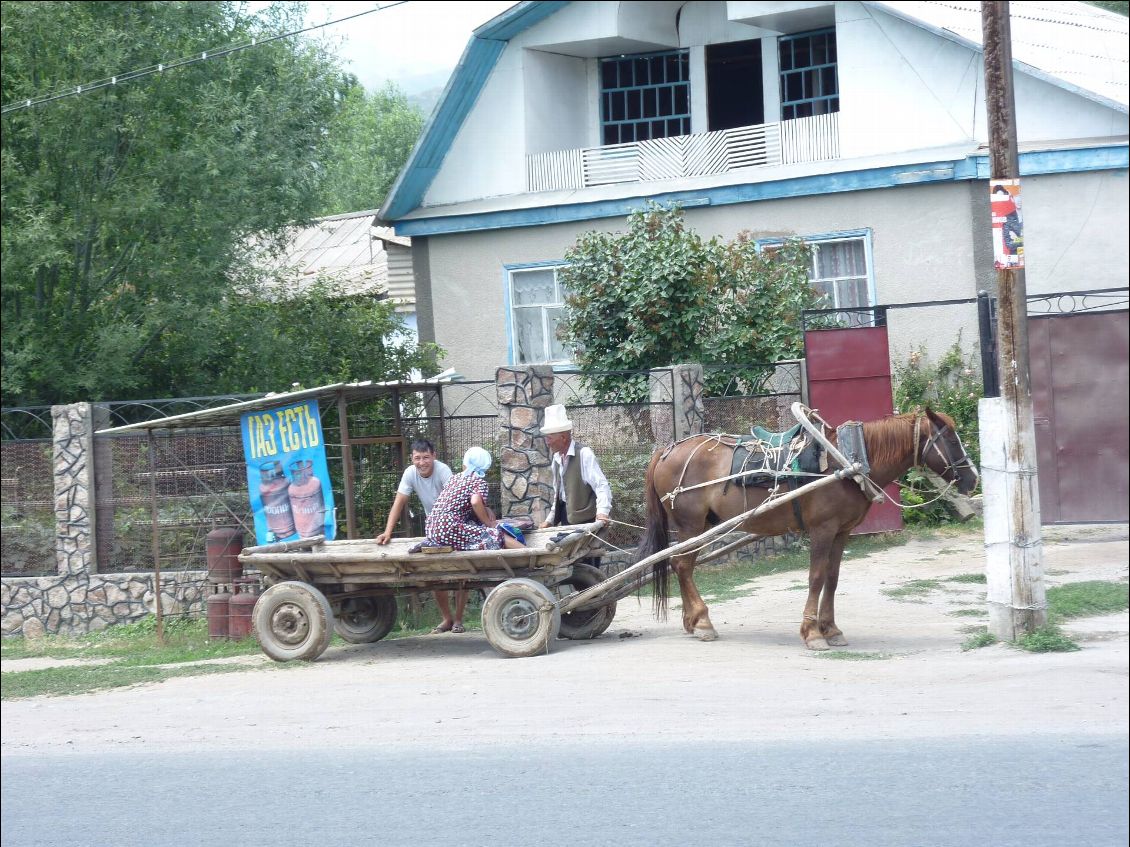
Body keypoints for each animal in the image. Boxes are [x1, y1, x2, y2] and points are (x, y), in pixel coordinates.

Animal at [637, 411, 980, 650]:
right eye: (951, 440)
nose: (972, 478)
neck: (845, 460)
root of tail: (666, 451)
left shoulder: (842, 532)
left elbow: (832, 578)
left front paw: (832, 629)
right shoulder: (822, 530)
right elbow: (816, 578)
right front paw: (813, 633)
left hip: (702, 526)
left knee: (682, 565)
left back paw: (692, 621)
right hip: (690, 524)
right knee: (682, 565)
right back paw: (703, 621)